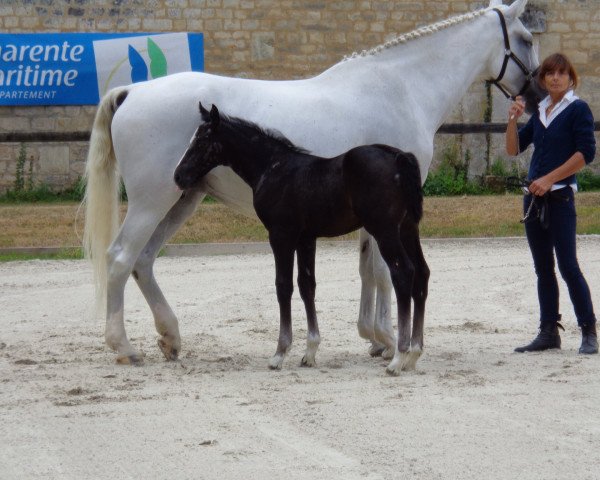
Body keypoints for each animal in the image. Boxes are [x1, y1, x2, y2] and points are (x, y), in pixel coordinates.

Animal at [175, 104, 432, 376]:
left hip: (385, 230)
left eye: (201, 141)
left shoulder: (281, 235)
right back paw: (414, 354)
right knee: (421, 273)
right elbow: (307, 285)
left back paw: (398, 358)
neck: (273, 167)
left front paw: (280, 353)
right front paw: (310, 351)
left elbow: (283, 286)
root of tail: (399, 157)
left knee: (403, 273)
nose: (178, 176)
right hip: (408, 229)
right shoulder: (306, 238)